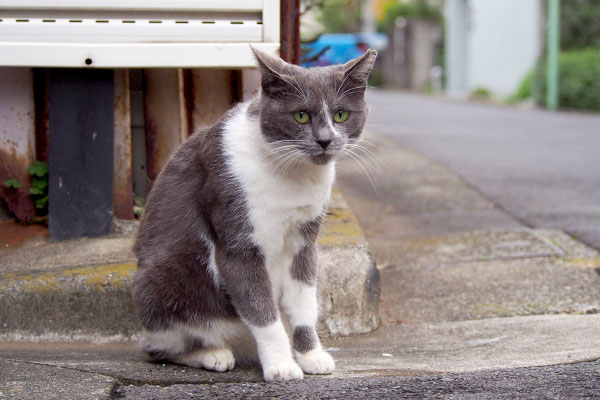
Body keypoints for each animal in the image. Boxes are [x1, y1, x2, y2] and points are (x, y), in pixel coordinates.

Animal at [132, 47, 376, 382]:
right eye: (301, 115)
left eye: (341, 114)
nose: (325, 140)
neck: (293, 177)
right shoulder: (238, 243)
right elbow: (262, 311)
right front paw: (281, 365)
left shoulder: (304, 242)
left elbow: (304, 304)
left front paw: (311, 356)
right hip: (162, 280)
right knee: (160, 348)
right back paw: (213, 354)